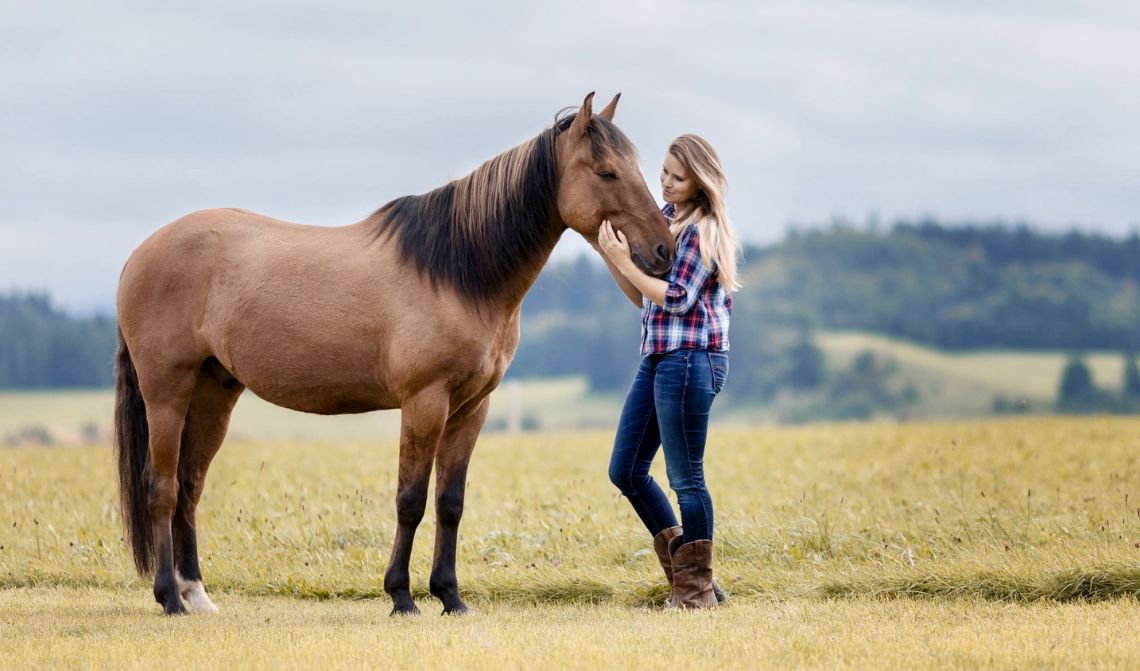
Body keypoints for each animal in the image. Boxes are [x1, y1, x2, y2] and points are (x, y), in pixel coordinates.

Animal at [113, 91, 674, 615]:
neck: (457, 270)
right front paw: (402, 596)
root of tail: (140, 254)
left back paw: (196, 594)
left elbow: (449, 502)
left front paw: (450, 596)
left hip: (214, 392)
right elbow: (410, 500)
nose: (664, 251)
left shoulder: (471, 408)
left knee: (189, 486)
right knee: (162, 488)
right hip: (167, 391)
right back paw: (169, 597)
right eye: (606, 171)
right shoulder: (424, 402)